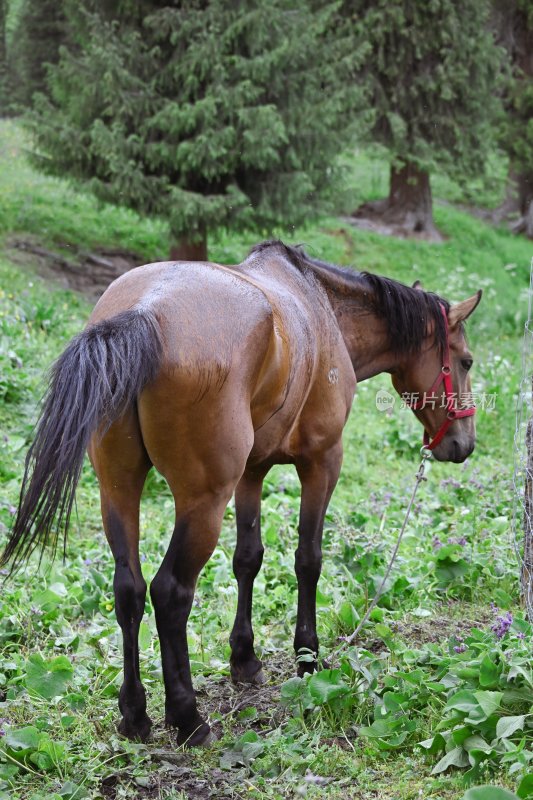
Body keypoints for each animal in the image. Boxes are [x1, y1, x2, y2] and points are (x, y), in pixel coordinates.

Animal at [1, 241, 482, 748]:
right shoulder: (322, 462)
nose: (463, 443)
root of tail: (144, 311)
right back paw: (188, 718)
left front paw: (244, 659)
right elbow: (308, 559)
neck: (320, 305)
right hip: (203, 503)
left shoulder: (252, 473)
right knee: (170, 592)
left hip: (118, 489)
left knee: (128, 589)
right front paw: (308, 658)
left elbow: (248, 559)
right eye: (466, 360)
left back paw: (135, 715)